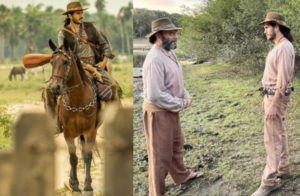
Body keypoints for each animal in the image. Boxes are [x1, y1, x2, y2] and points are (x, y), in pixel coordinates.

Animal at [46, 39, 101, 193]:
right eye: (51, 62)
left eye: (65, 62)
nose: (54, 87)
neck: (77, 100)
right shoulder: (68, 133)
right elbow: (72, 158)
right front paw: (75, 184)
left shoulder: (90, 131)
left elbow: (87, 156)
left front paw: (87, 185)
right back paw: (71, 181)